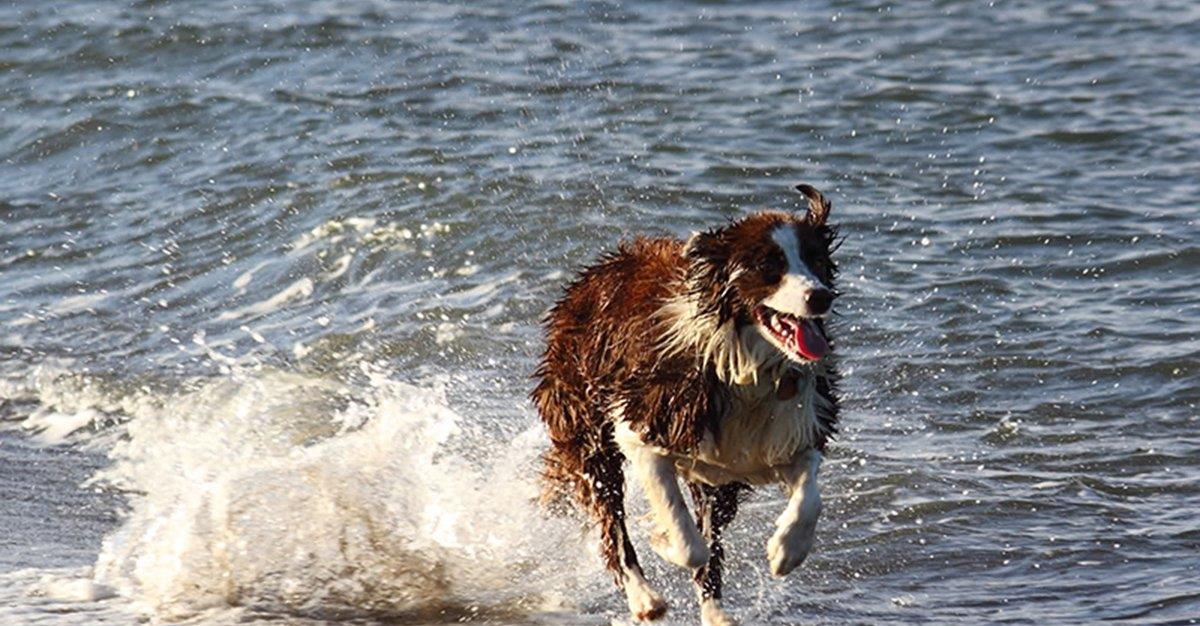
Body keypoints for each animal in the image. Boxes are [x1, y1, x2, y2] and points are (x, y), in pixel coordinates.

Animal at [535, 182, 844, 618]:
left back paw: (717, 616)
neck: (746, 365)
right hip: (587, 429)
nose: (820, 296)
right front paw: (663, 538)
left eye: (816, 259)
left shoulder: (787, 430)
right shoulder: (642, 425)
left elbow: (809, 495)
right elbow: (687, 539)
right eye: (769, 266)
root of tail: (591, 275)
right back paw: (643, 597)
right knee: (612, 522)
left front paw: (787, 550)